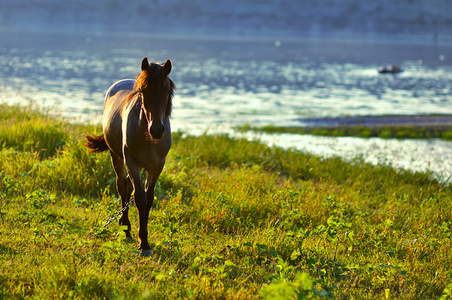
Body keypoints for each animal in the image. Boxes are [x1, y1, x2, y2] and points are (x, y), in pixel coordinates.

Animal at [85, 56, 175, 255]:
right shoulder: (131, 162)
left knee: (126, 185)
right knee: (122, 185)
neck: (148, 138)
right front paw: (144, 244)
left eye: (166, 91)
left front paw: (144, 240)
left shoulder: (157, 166)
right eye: (142, 90)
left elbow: (149, 199)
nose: (156, 130)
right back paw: (125, 228)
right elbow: (140, 198)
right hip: (117, 157)